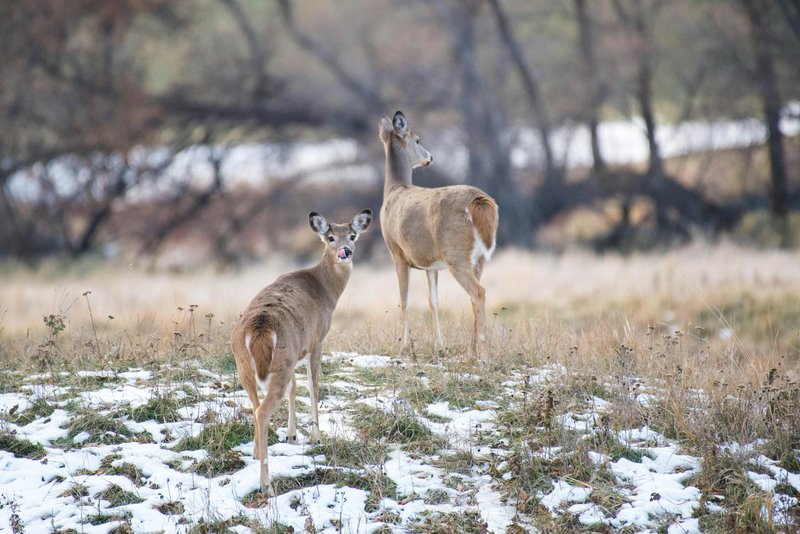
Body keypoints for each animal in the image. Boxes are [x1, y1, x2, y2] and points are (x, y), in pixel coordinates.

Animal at [230, 208, 372, 494]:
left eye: (352, 236)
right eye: (330, 237)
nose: (345, 252)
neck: (325, 289)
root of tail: (259, 328)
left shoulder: (295, 353)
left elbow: (295, 387)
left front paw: (292, 434)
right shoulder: (317, 341)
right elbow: (313, 385)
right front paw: (316, 437)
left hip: (247, 364)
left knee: (255, 405)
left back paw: (256, 452)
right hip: (279, 363)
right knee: (262, 411)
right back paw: (266, 484)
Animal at [379, 111, 498, 364]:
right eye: (418, 140)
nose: (430, 157)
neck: (394, 190)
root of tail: (480, 202)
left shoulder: (397, 253)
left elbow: (404, 299)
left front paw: (403, 349)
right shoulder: (430, 264)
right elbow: (433, 301)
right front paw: (440, 348)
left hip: (456, 254)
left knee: (479, 292)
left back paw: (483, 357)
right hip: (479, 258)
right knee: (473, 295)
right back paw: (472, 352)